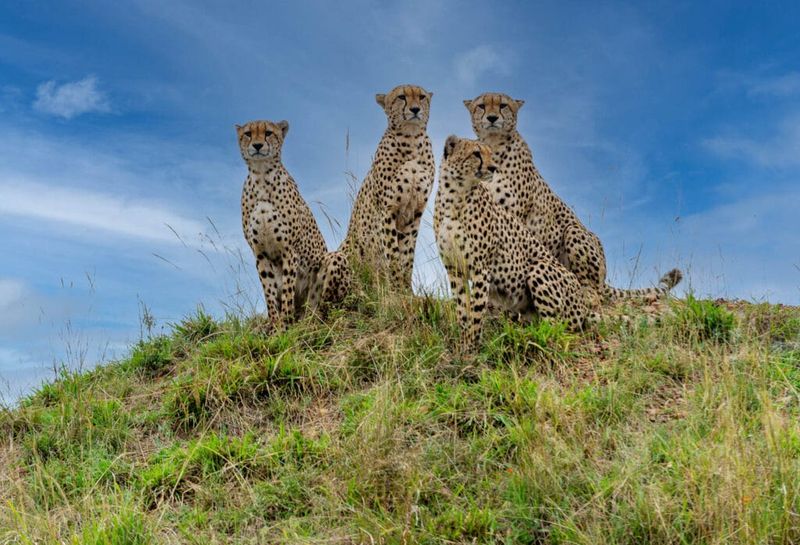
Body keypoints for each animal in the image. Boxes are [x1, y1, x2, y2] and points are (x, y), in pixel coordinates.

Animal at [237, 119, 350, 326]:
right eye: (248, 134)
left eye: (268, 133)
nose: (257, 145)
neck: (261, 176)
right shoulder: (260, 253)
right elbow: (269, 292)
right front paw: (275, 326)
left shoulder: (289, 250)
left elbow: (288, 289)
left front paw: (285, 323)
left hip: (334, 259)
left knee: (324, 308)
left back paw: (311, 321)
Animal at [339, 84, 435, 290]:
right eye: (402, 97)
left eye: (422, 97)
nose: (415, 109)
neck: (412, 139)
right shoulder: (388, 209)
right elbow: (393, 252)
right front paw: (396, 288)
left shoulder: (415, 212)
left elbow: (407, 255)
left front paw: (407, 290)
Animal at [434, 135, 594, 349]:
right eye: (476, 153)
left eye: (490, 153)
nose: (493, 168)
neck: (454, 195)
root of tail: (583, 305)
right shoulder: (455, 268)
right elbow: (462, 309)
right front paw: (462, 342)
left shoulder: (480, 269)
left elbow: (476, 311)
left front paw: (472, 346)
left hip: (539, 268)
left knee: (560, 329)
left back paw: (528, 337)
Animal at [464, 92, 682, 302]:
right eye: (481, 105)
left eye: (503, 105)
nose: (492, 117)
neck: (494, 146)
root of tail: (604, 278)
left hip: (574, 231)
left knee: (593, 291)